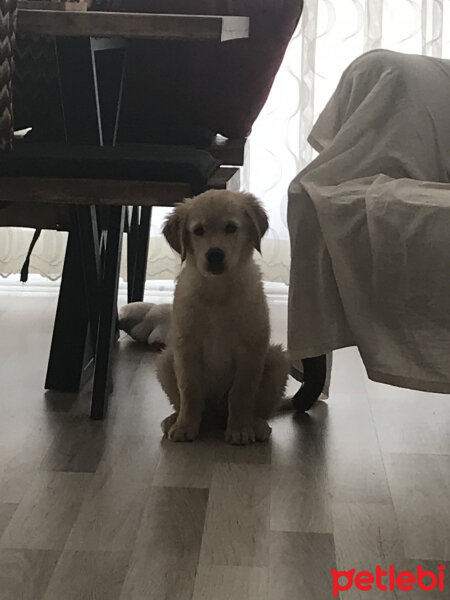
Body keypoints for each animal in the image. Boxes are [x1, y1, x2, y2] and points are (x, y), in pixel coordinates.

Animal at [156, 190, 288, 442]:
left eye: (231, 228)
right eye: (198, 231)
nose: (215, 255)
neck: (217, 290)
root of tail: (217, 417)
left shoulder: (251, 348)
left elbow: (241, 393)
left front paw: (240, 429)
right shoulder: (186, 347)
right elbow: (189, 390)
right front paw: (185, 426)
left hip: (277, 360)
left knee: (259, 409)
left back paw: (255, 424)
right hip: (166, 360)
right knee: (193, 406)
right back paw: (176, 420)